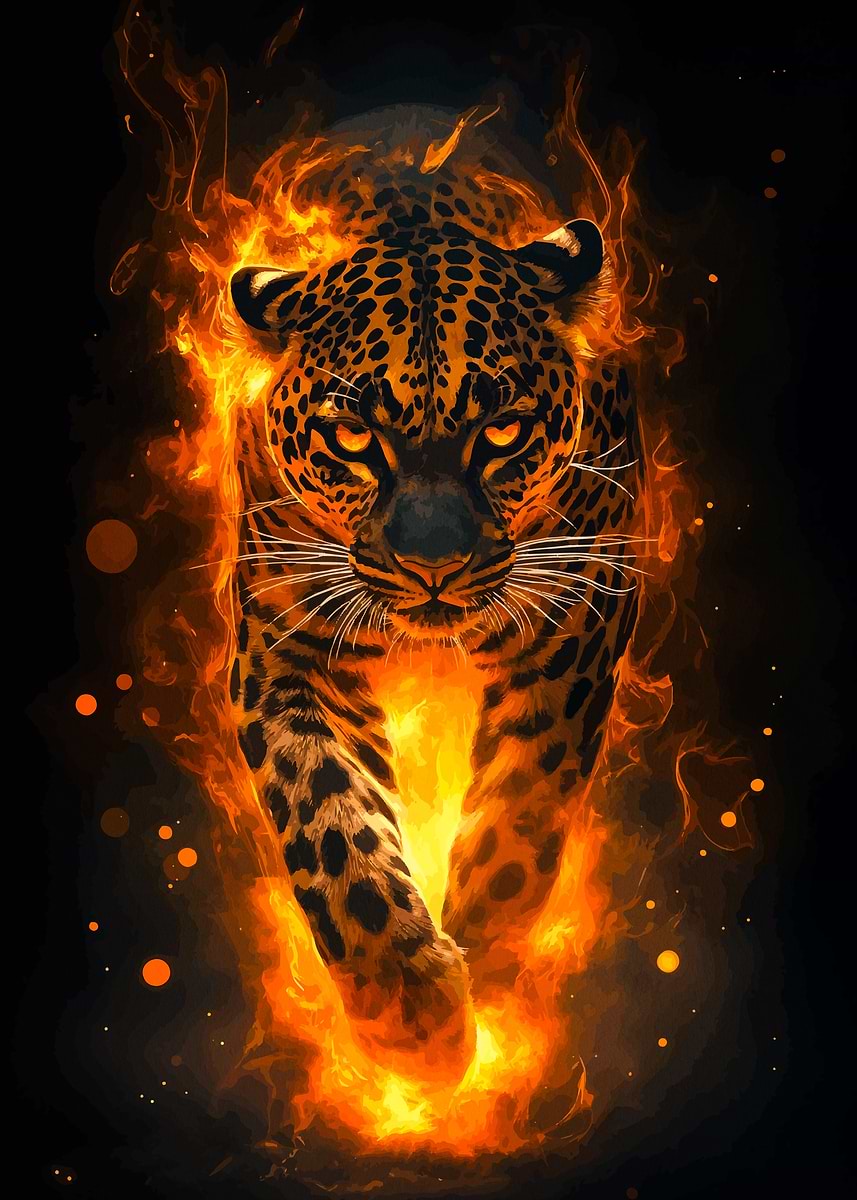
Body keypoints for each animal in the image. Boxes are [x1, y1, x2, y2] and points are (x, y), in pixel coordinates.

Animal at [226, 111, 641, 1074]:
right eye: (351, 436)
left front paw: (486, 965)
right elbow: (325, 815)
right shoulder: (286, 649)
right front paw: (409, 1013)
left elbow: (520, 816)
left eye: (502, 431)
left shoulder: (575, 627)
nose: (432, 566)